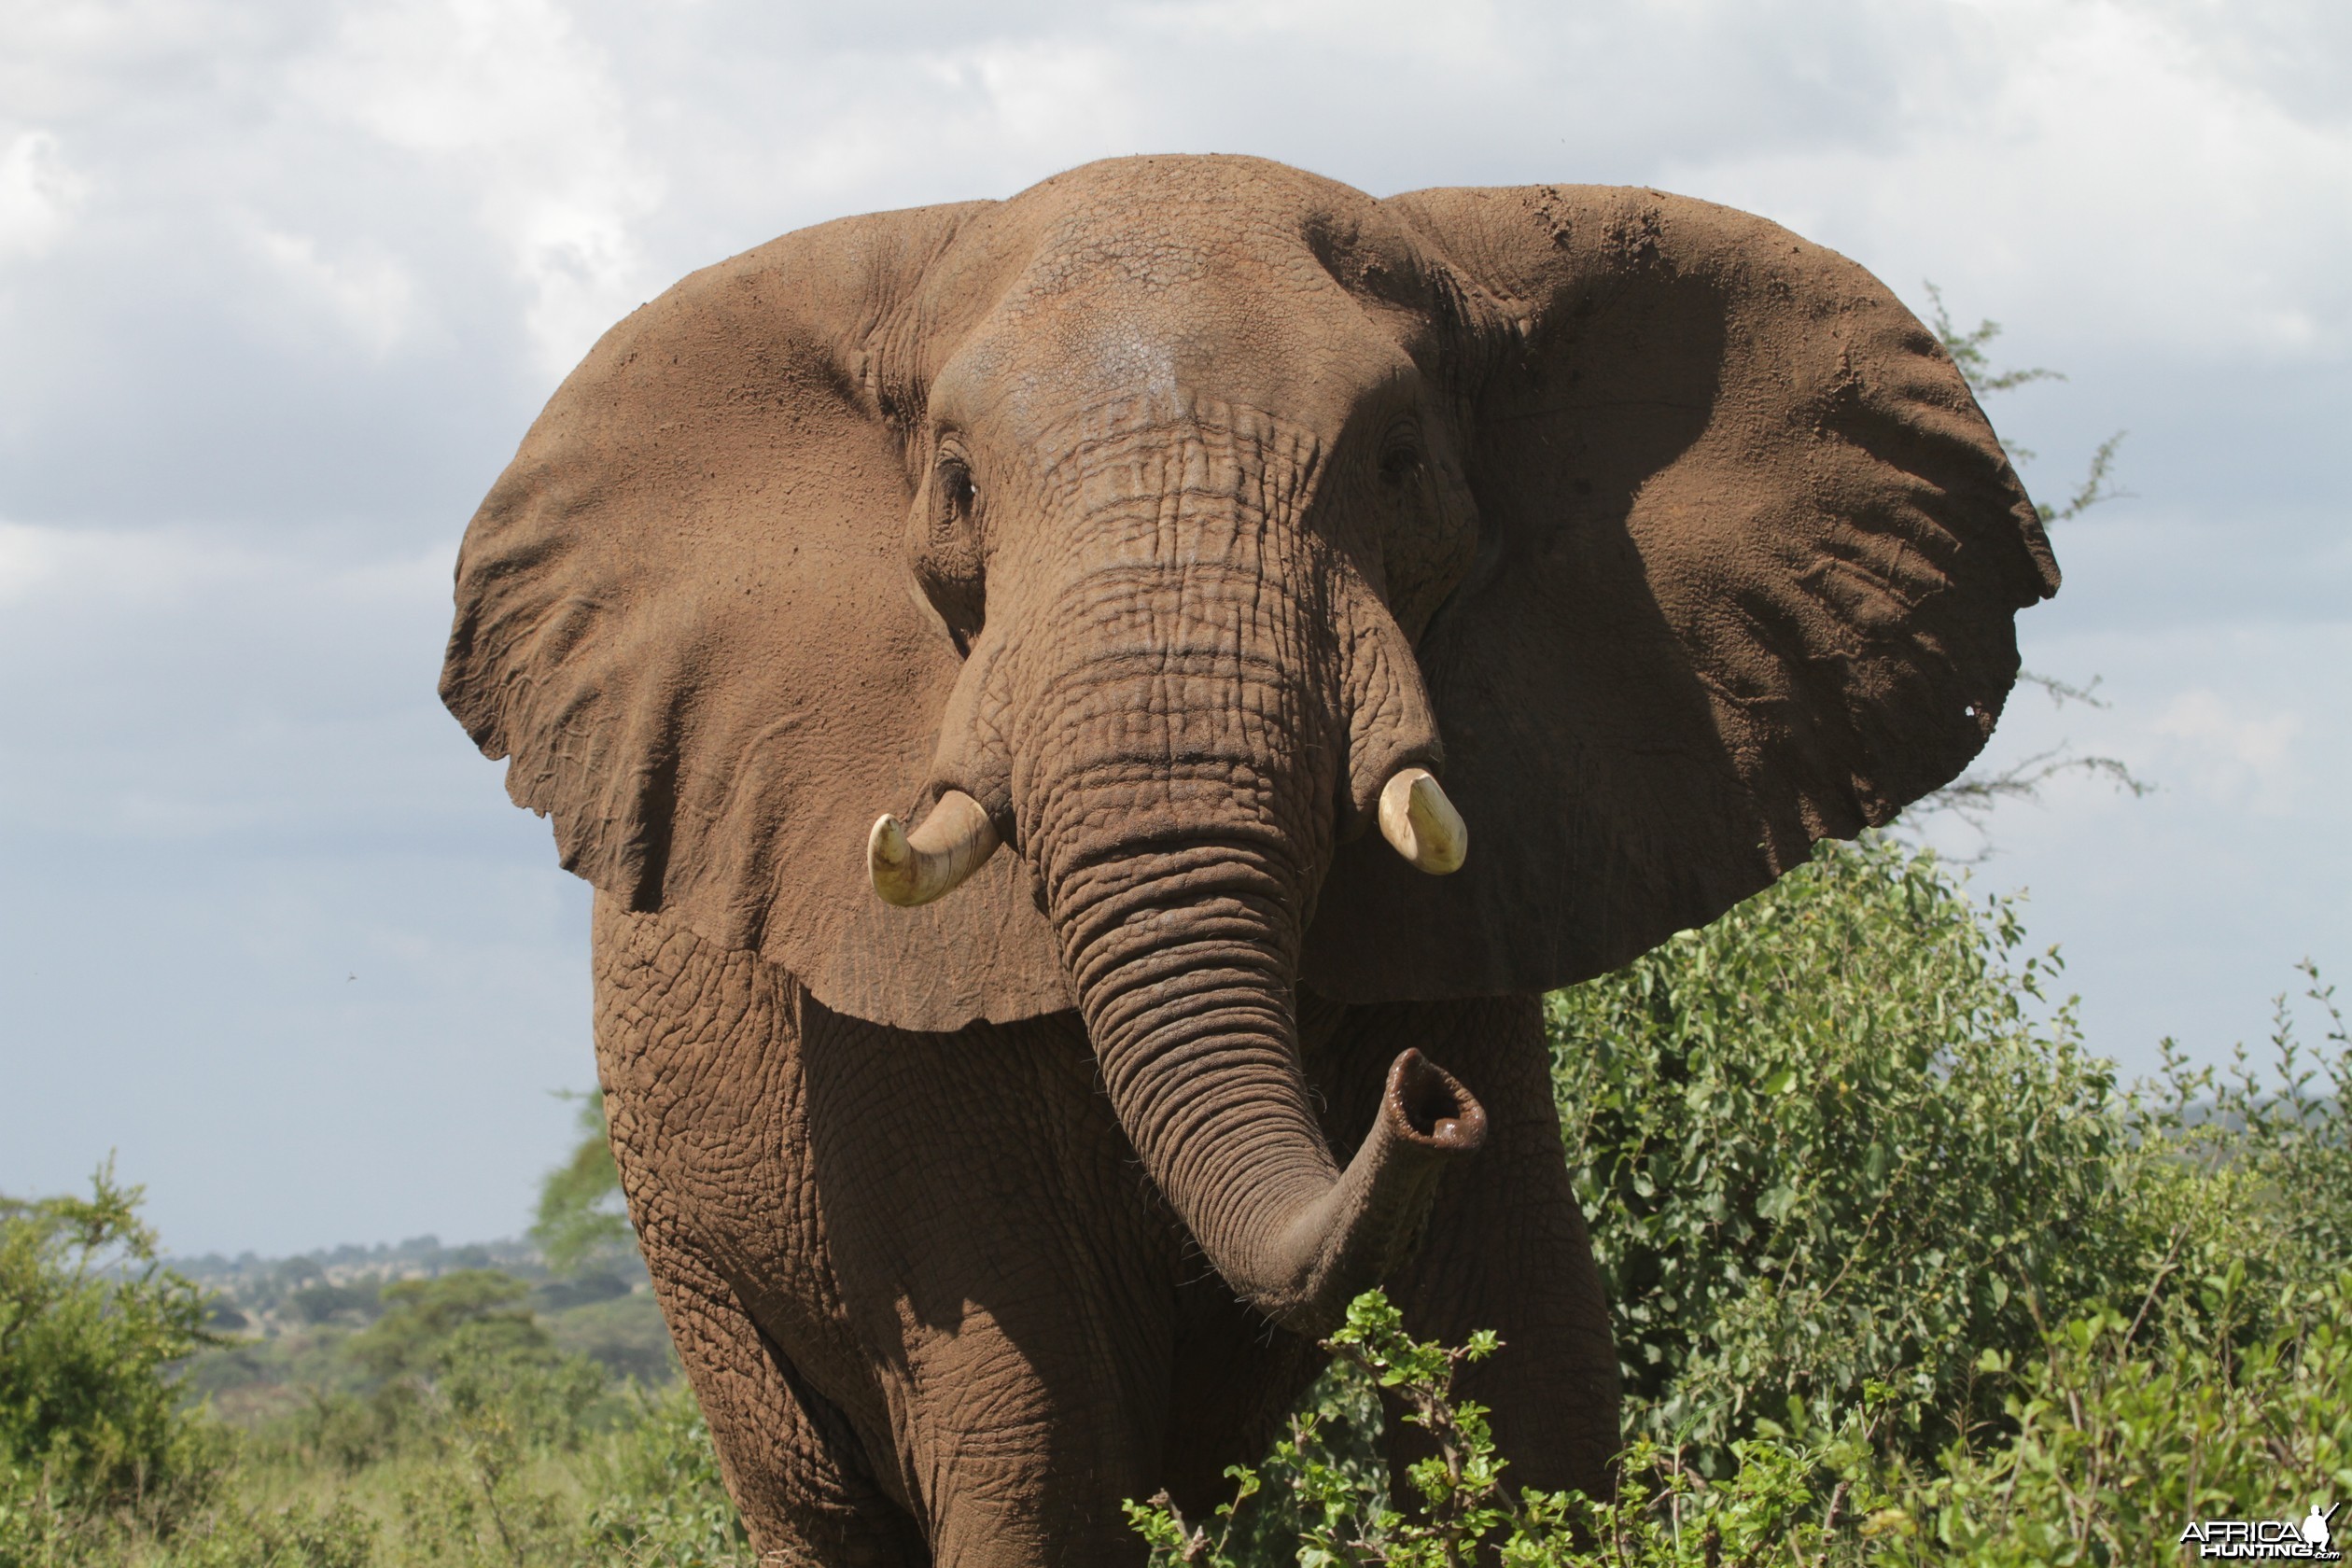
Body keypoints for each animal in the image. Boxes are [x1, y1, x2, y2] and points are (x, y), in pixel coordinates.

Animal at [441, 152, 2060, 1561]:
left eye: (1402, 464)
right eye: (955, 486)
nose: (1425, 1101)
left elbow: (1528, 1366)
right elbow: (1033, 1447)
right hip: (692, 1246)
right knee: (828, 1504)